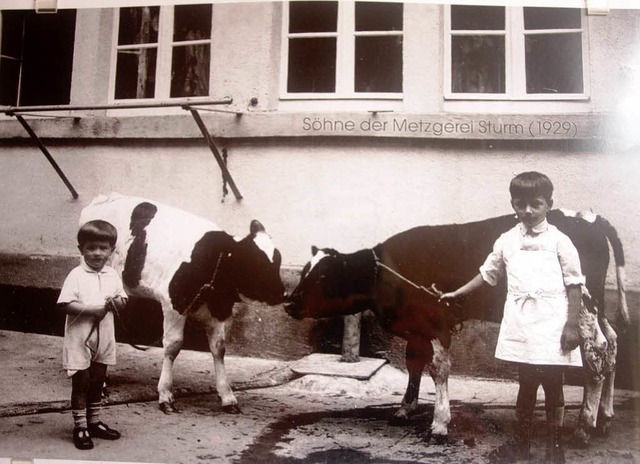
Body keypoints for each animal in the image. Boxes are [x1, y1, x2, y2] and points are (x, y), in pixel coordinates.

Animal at [80, 192, 284, 414]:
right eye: (255, 263)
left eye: (278, 260)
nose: (282, 293)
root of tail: (106, 197)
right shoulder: (173, 305)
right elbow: (173, 346)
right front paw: (165, 395)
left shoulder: (218, 310)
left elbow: (219, 348)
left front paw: (227, 396)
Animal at [284, 210, 632, 446]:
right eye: (303, 272)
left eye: (323, 276)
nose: (288, 302)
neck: (387, 273)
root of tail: (589, 217)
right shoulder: (417, 327)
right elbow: (414, 363)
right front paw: (405, 409)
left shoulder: (438, 322)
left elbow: (438, 369)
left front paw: (439, 423)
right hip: (598, 308)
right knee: (613, 345)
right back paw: (605, 417)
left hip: (582, 306)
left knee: (598, 354)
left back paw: (585, 425)